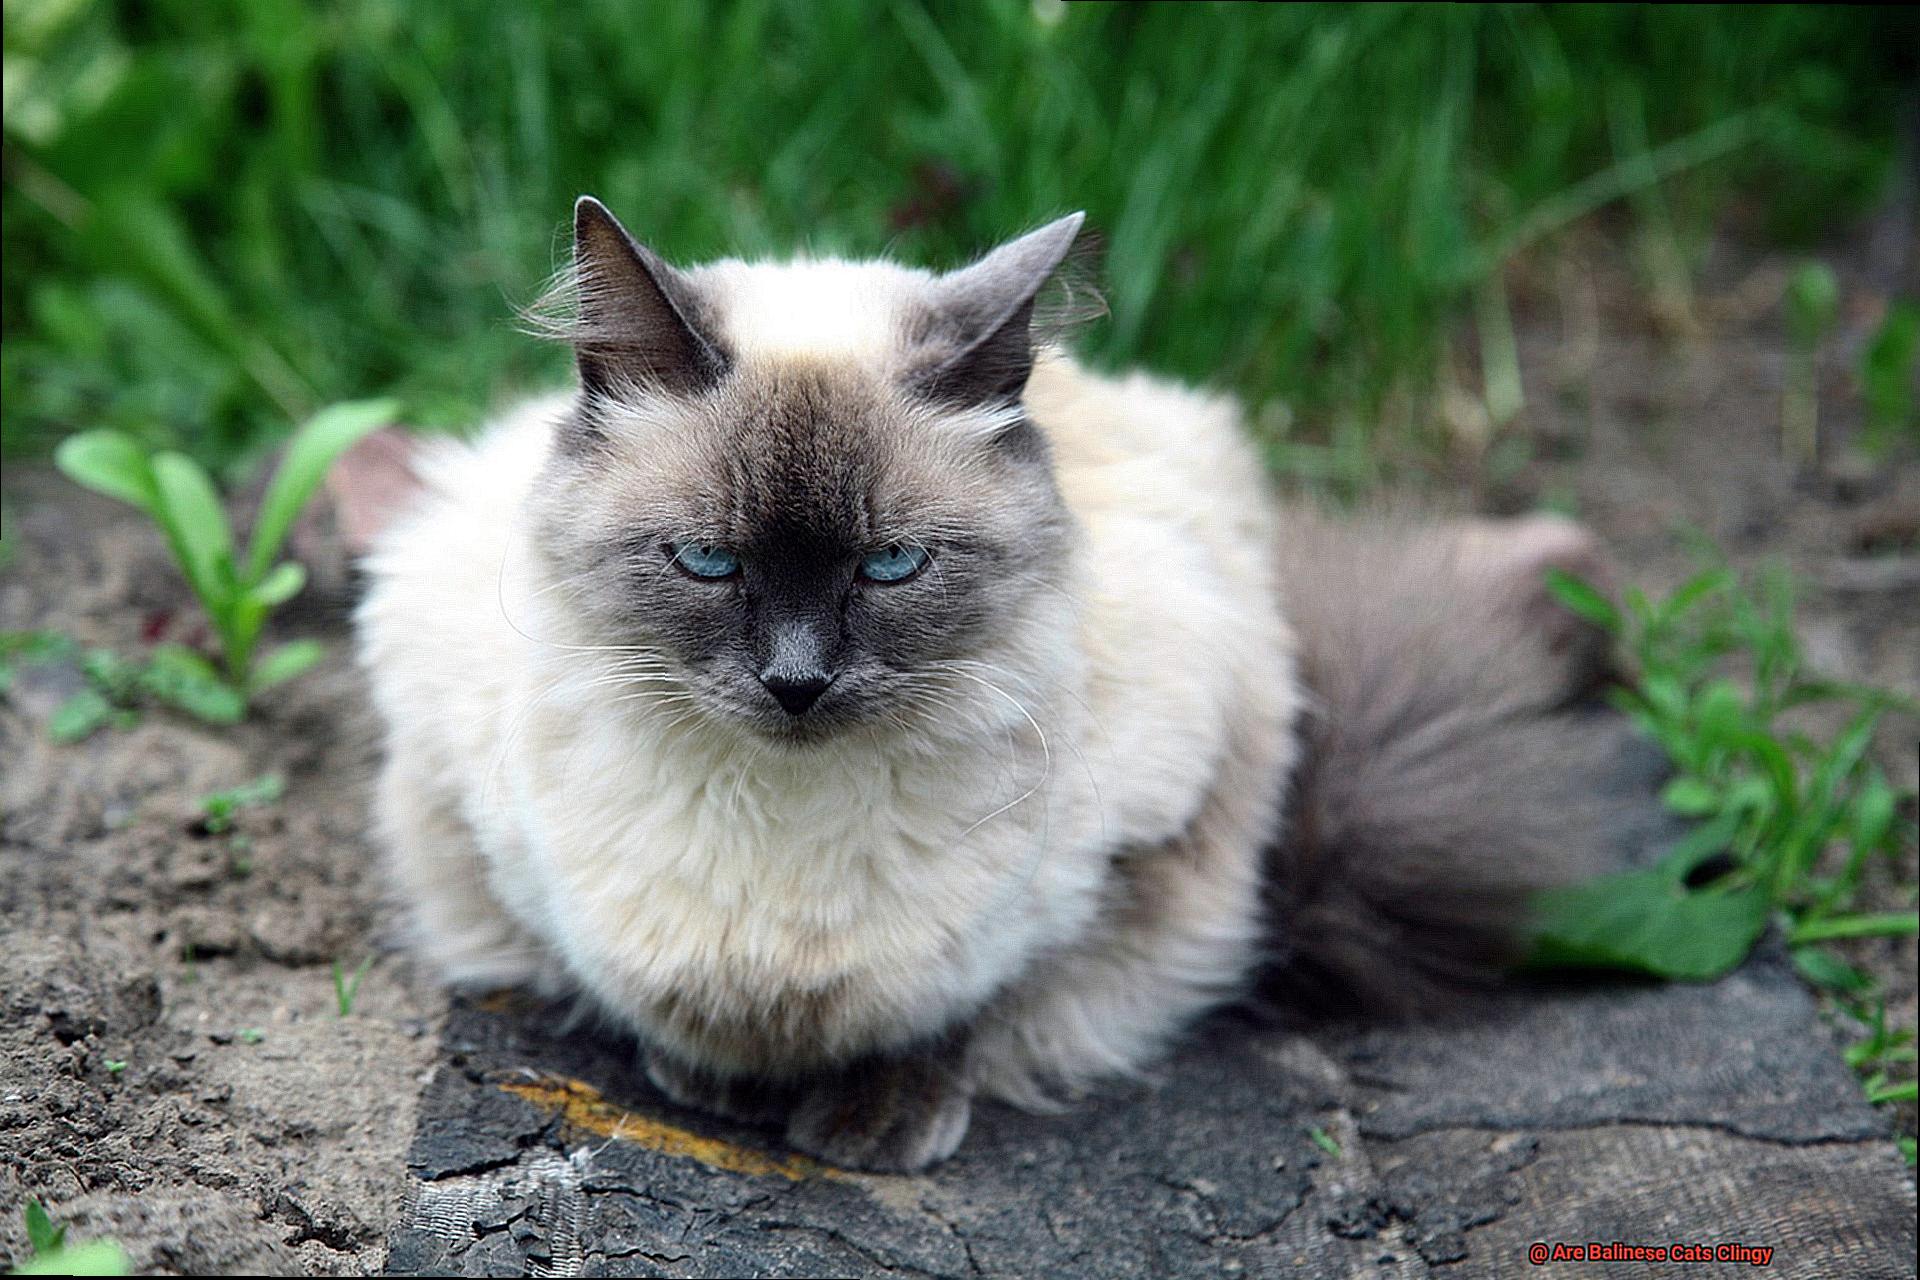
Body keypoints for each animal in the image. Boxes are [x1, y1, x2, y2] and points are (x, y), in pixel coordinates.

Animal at [357, 197, 1620, 1174]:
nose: (797, 681)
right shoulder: (499, 841)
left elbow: (974, 995)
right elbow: (641, 992)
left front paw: (871, 1118)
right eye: (710, 561)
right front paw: (715, 1076)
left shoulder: (1129, 852)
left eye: (891, 564)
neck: (784, 825)